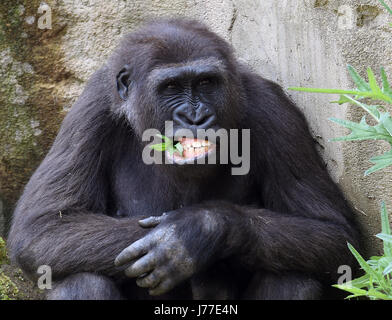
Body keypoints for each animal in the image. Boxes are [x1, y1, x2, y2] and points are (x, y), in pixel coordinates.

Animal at [7, 18, 360, 300]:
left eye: (205, 82)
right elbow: (44, 227)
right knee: (82, 279)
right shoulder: (91, 109)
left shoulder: (273, 110)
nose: (195, 116)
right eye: (171, 87)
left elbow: (334, 235)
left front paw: (195, 232)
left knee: (294, 276)